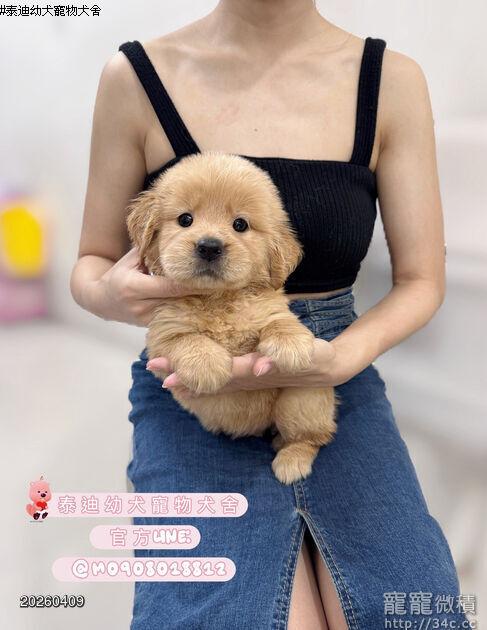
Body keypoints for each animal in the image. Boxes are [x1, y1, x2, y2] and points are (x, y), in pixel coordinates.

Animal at [126, 151, 337, 484]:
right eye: (185, 219)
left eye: (240, 224)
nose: (209, 246)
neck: (218, 299)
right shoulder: (161, 335)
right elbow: (186, 339)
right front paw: (207, 365)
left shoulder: (271, 307)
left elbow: (280, 320)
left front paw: (291, 345)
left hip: (303, 399)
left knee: (313, 438)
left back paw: (291, 461)